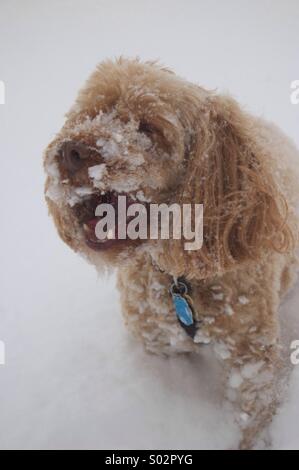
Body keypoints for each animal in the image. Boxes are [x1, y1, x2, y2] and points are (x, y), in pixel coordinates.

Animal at [44, 57, 299, 450]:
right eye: (94, 113)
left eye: (148, 128)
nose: (71, 151)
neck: (180, 280)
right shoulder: (158, 341)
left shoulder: (251, 356)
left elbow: (252, 415)